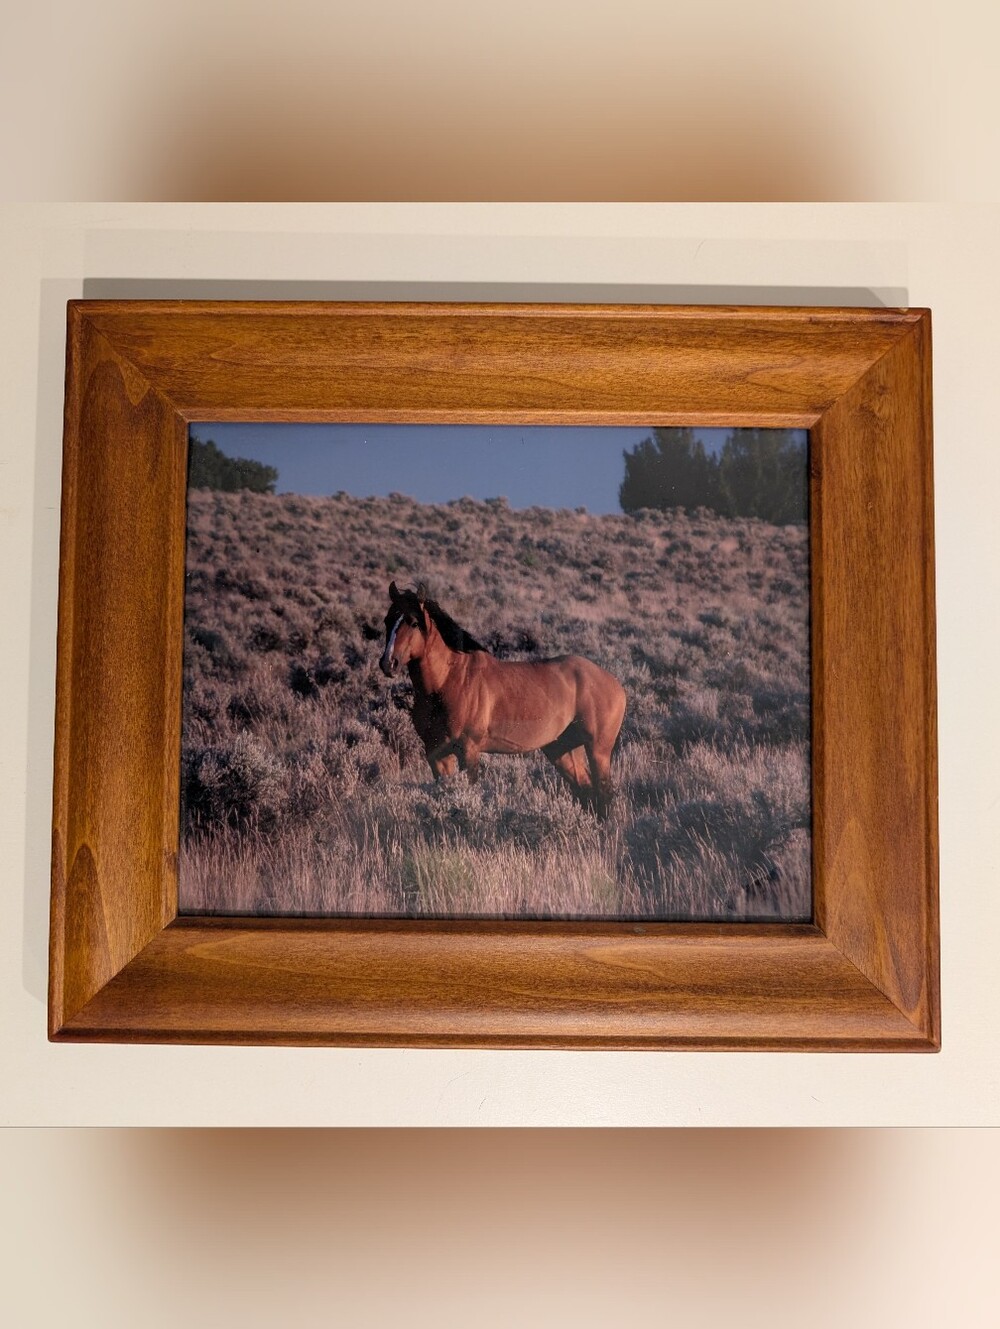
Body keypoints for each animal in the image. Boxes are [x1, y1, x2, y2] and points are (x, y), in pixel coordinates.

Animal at [378, 582, 626, 817]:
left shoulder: (469, 751)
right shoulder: (437, 754)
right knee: (586, 793)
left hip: (598, 750)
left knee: (604, 795)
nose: (388, 663)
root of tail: (615, 684)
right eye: (387, 620)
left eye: (413, 622)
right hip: (563, 751)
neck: (449, 680)